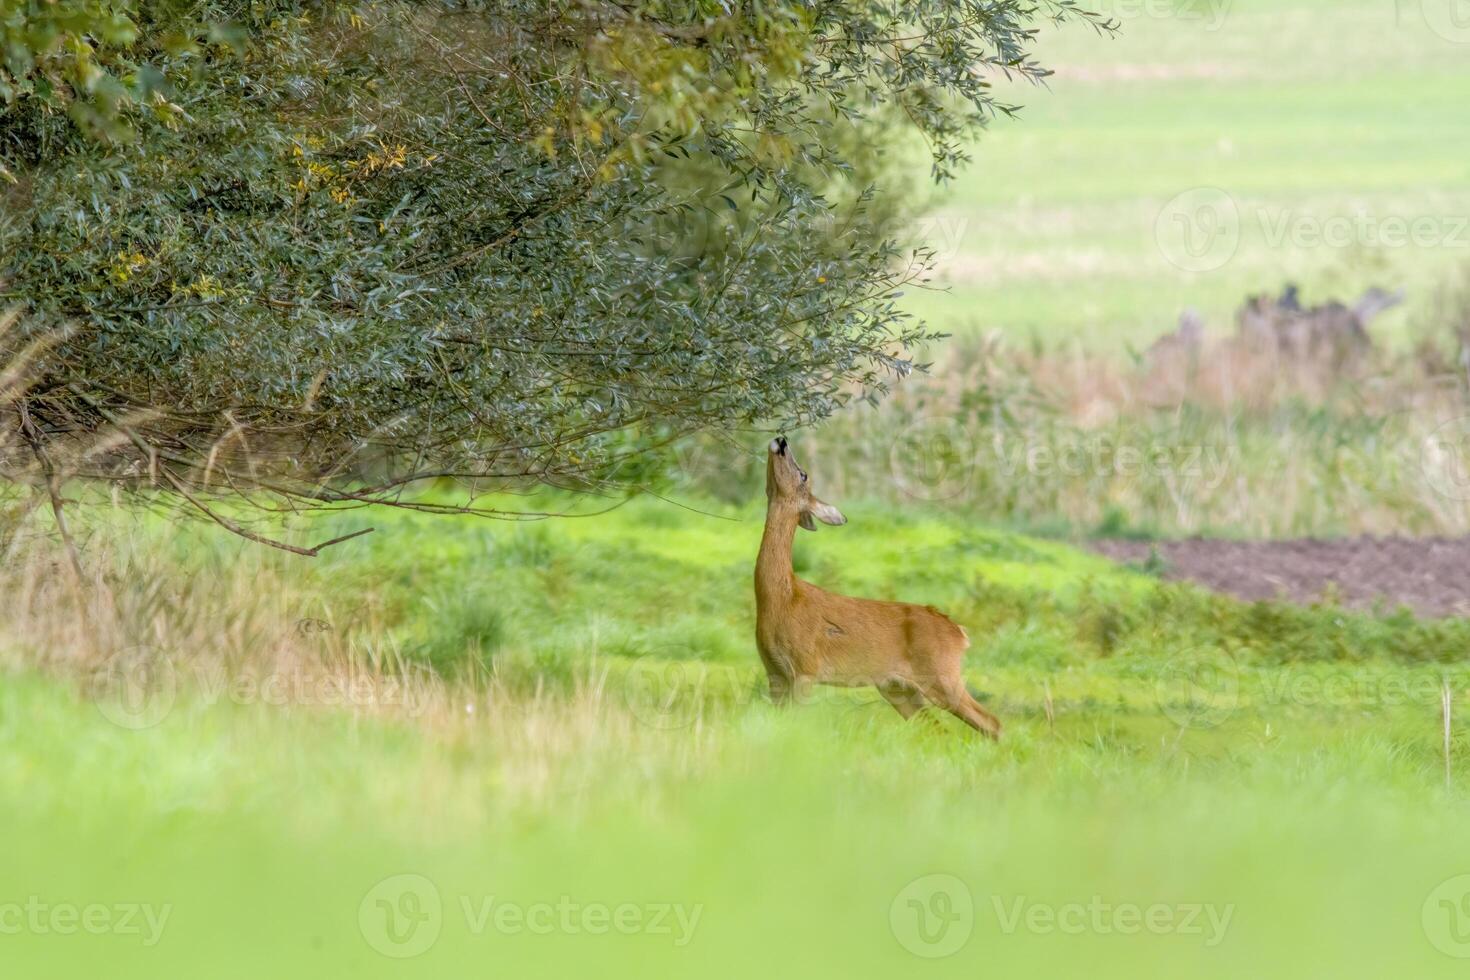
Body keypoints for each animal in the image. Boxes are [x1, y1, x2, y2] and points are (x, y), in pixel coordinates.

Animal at [752, 440, 1005, 740]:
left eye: (804, 474)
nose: (782, 441)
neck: (783, 598)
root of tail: (959, 633)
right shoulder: (774, 671)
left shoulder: (806, 667)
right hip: (898, 687)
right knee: (937, 728)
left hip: (942, 674)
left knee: (991, 722)